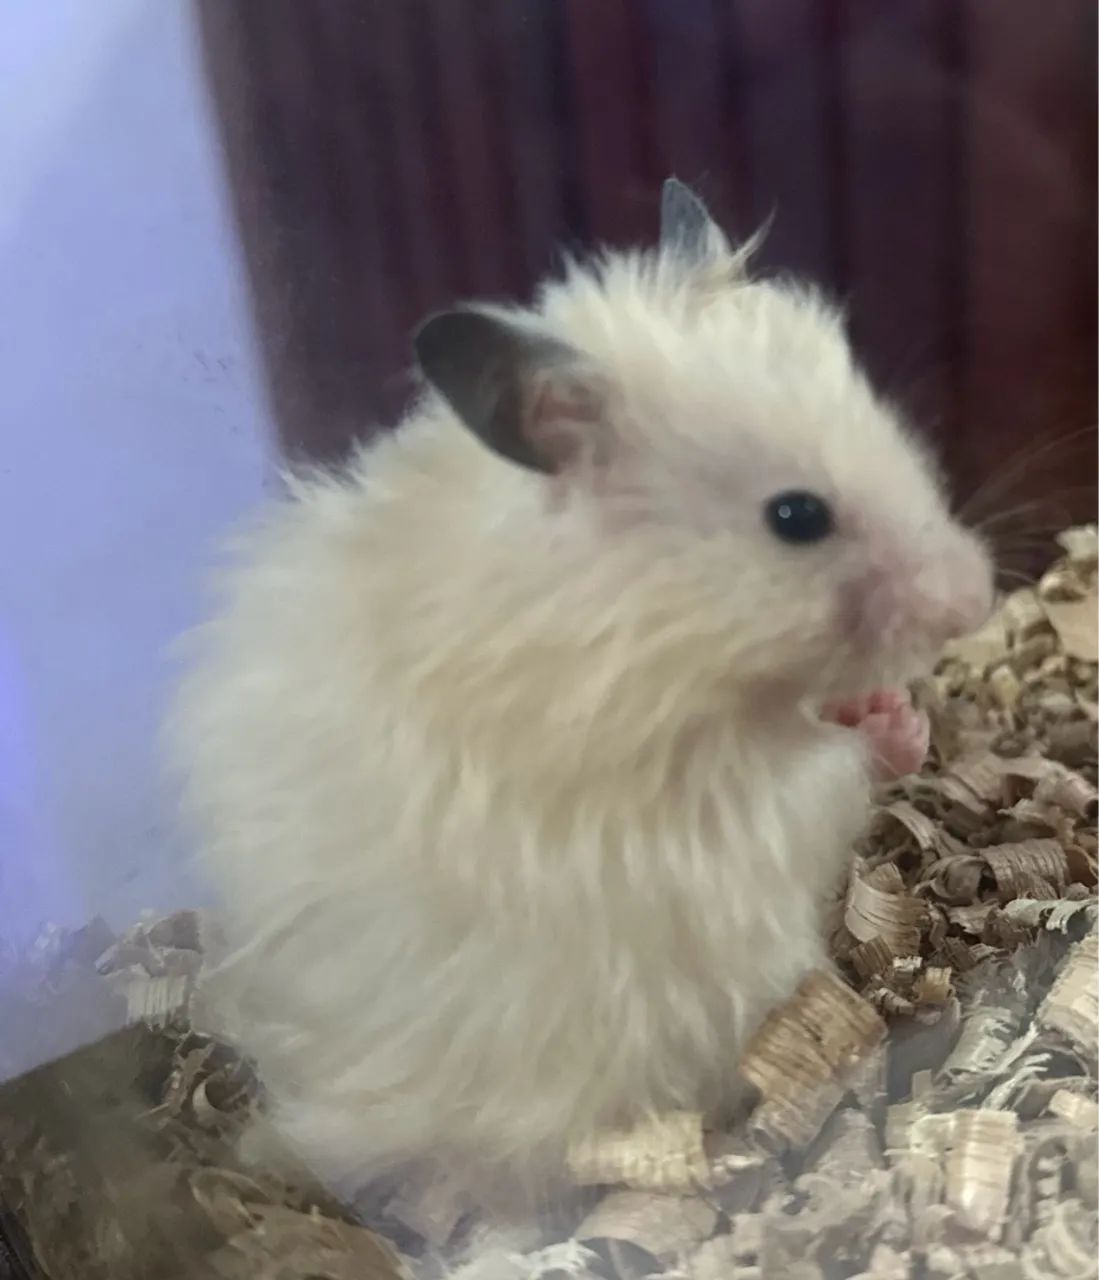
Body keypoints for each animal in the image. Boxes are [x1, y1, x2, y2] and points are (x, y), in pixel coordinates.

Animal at [169, 179, 993, 1195]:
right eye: (795, 516)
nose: (976, 598)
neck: (635, 622)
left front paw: (900, 711)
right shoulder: (697, 794)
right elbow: (824, 766)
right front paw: (888, 720)